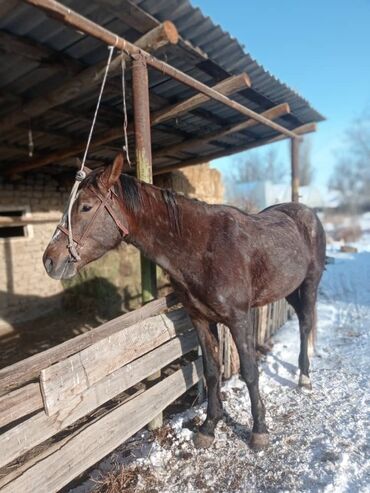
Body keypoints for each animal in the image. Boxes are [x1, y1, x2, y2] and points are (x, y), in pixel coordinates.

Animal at [43, 154, 326, 450]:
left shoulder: (239, 319)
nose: (50, 260)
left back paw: (304, 378)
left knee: (306, 324)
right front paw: (209, 427)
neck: (203, 247)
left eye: (86, 207)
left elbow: (250, 371)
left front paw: (259, 430)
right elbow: (211, 371)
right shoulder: (200, 318)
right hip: (289, 289)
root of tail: (306, 213)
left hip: (310, 283)